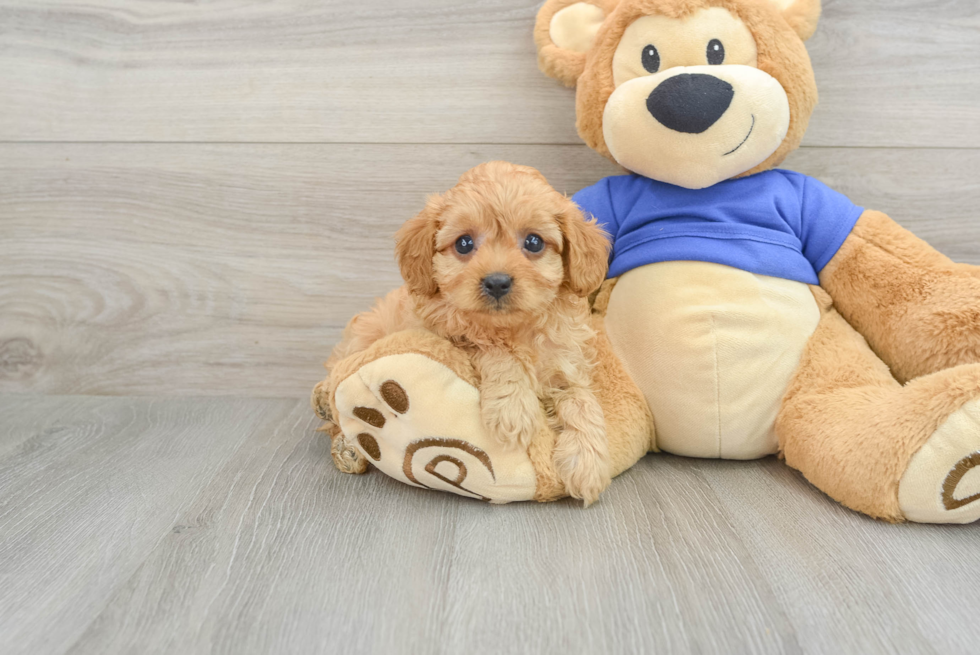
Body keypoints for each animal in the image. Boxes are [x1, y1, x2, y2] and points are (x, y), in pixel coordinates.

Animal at [330, 161, 612, 504]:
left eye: (533, 242)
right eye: (464, 243)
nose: (497, 282)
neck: (512, 327)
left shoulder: (568, 365)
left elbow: (582, 400)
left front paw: (588, 463)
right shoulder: (449, 336)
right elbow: (492, 349)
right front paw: (513, 408)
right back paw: (347, 448)